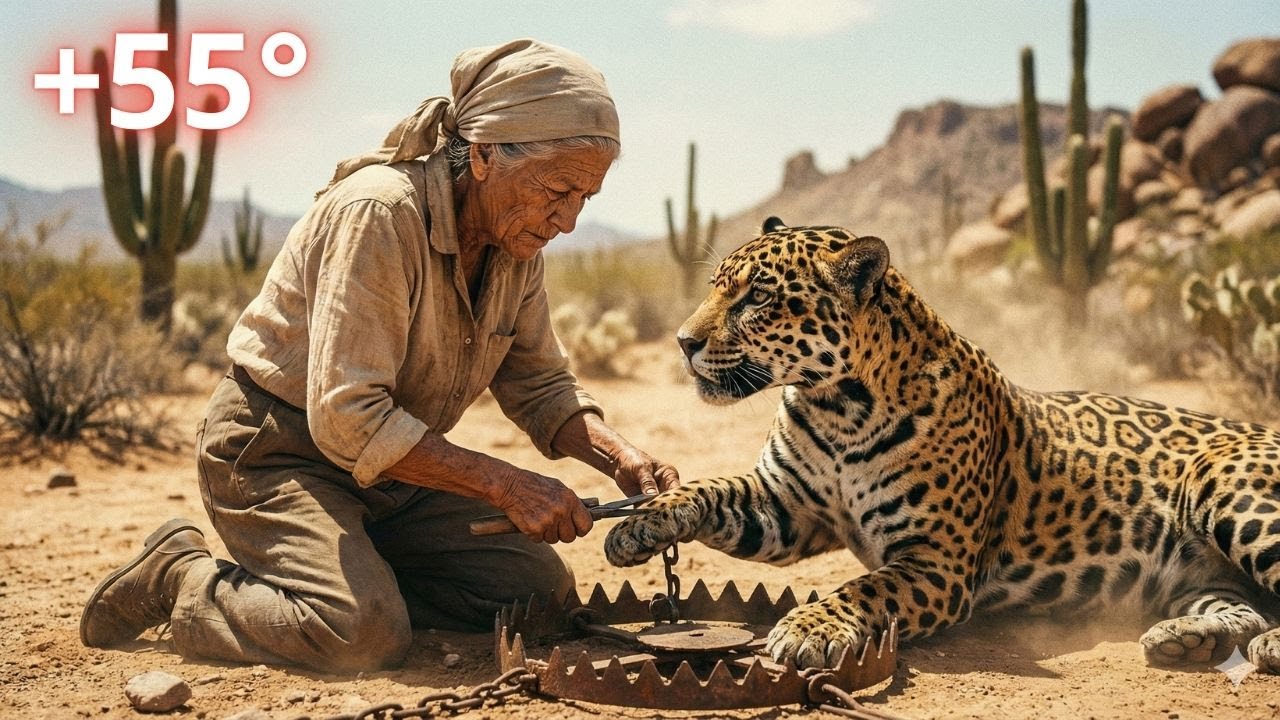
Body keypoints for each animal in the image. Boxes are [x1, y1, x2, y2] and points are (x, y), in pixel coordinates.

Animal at [604, 217, 1280, 673]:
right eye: (719, 286)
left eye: (759, 297)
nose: (683, 341)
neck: (837, 407)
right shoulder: (785, 508)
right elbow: (709, 489)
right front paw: (641, 523)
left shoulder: (937, 561)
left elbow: (863, 588)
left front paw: (807, 627)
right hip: (1200, 573)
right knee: (1244, 604)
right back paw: (1186, 640)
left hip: (1227, 485)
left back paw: (1260, 648)